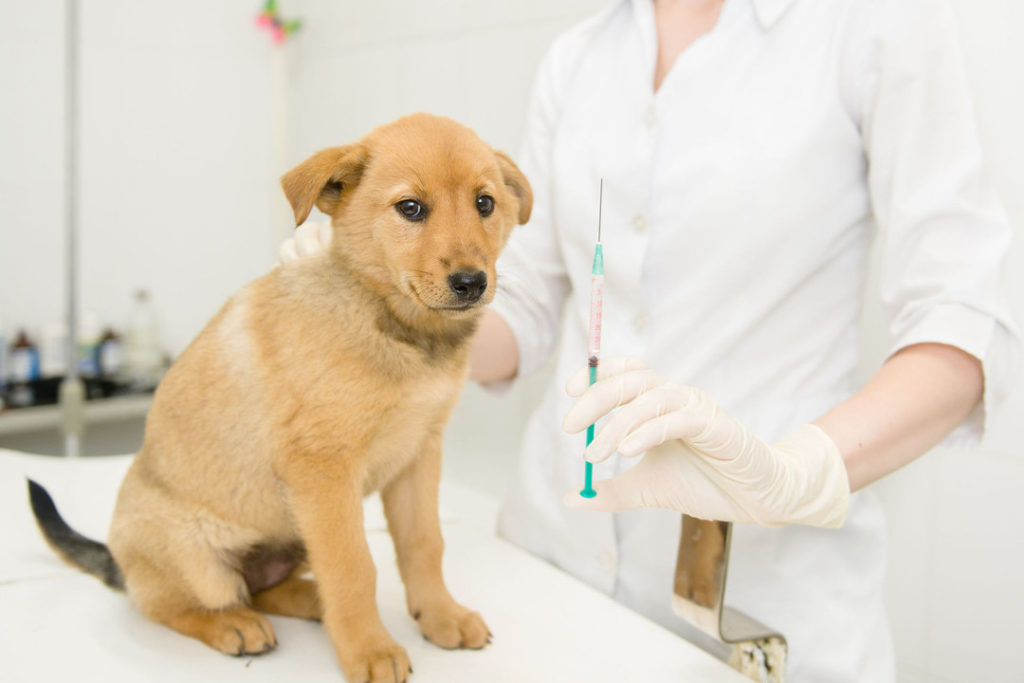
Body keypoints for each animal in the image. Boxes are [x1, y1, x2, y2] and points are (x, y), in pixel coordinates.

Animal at [28, 113, 532, 683]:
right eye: (410, 208)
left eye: (485, 203)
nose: (471, 282)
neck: (394, 326)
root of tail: (118, 557)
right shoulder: (323, 472)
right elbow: (354, 566)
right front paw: (369, 649)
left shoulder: (417, 456)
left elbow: (424, 544)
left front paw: (440, 615)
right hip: (198, 556)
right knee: (170, 602)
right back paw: (232, 624)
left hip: (294, 536)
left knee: (261, 586)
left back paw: (312, 603)